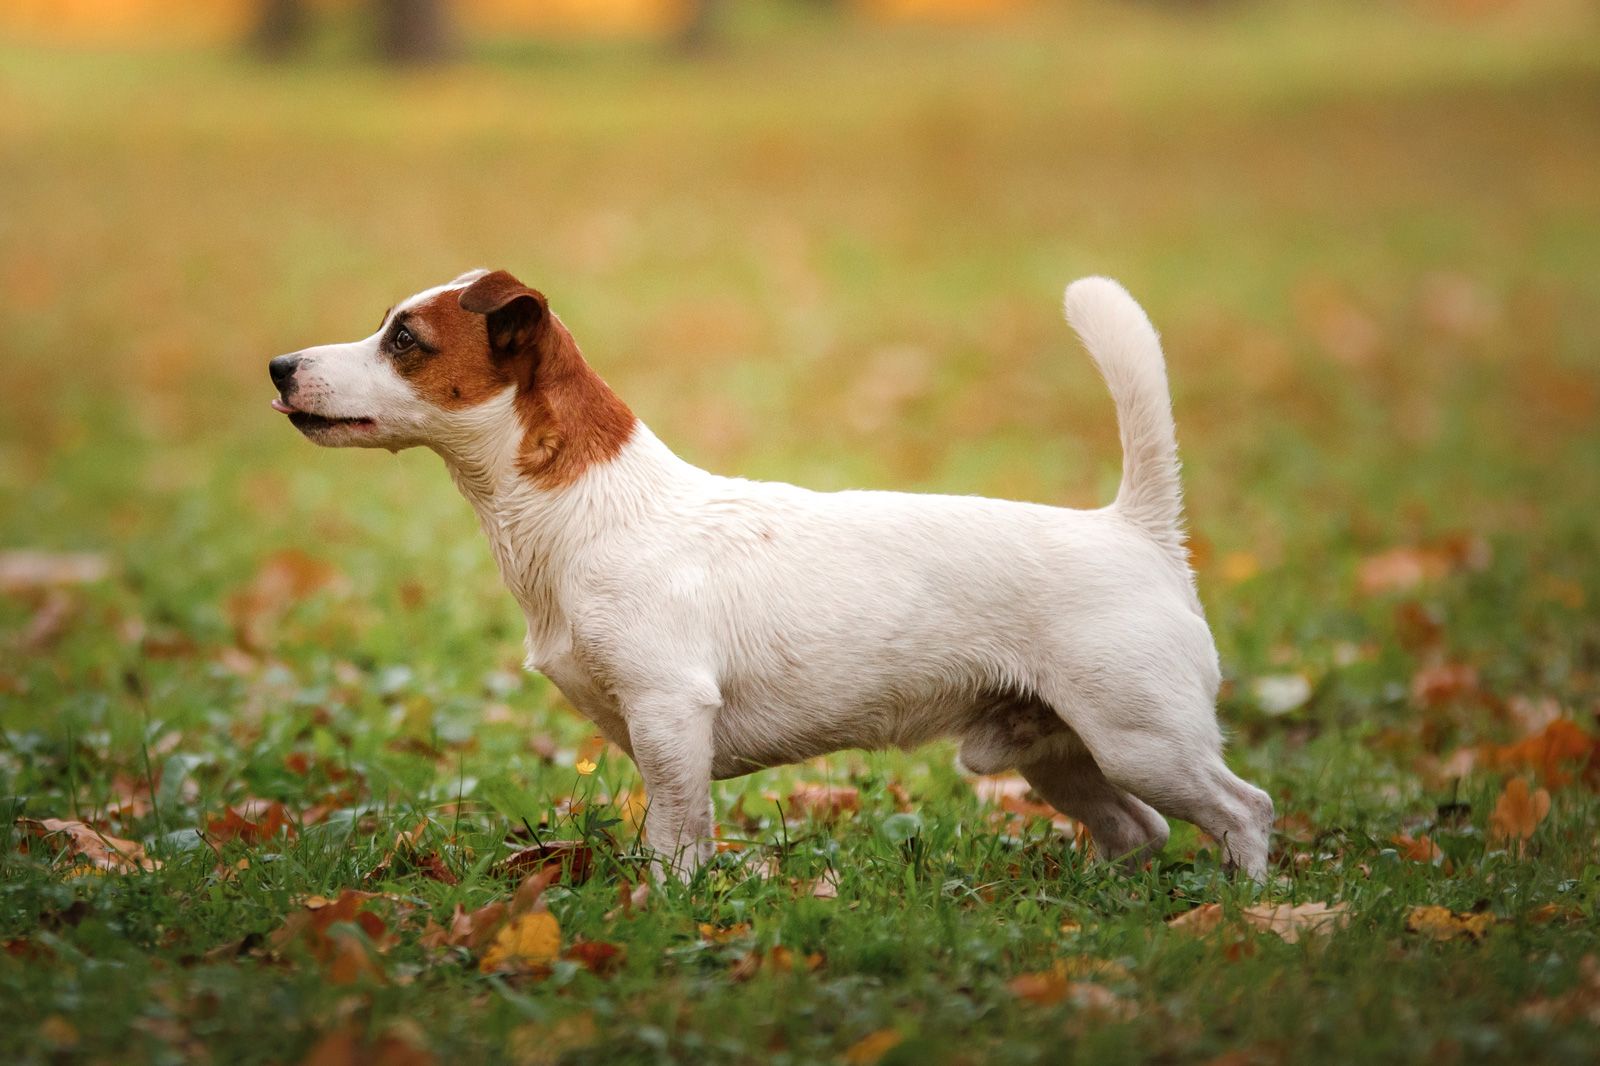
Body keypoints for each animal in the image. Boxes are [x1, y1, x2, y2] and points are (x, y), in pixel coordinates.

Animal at [272, 270, 1273, 877]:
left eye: (405, 340)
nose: (279, 364)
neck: (587, 511)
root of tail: (1139, 531)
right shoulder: (650, 736)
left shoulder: (671, 716)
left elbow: (680, 842)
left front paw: (668, 912)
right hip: (1060, 756)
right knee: (1140, 830)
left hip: (1144, 740)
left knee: (1246, 808)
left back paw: (1244, 907)